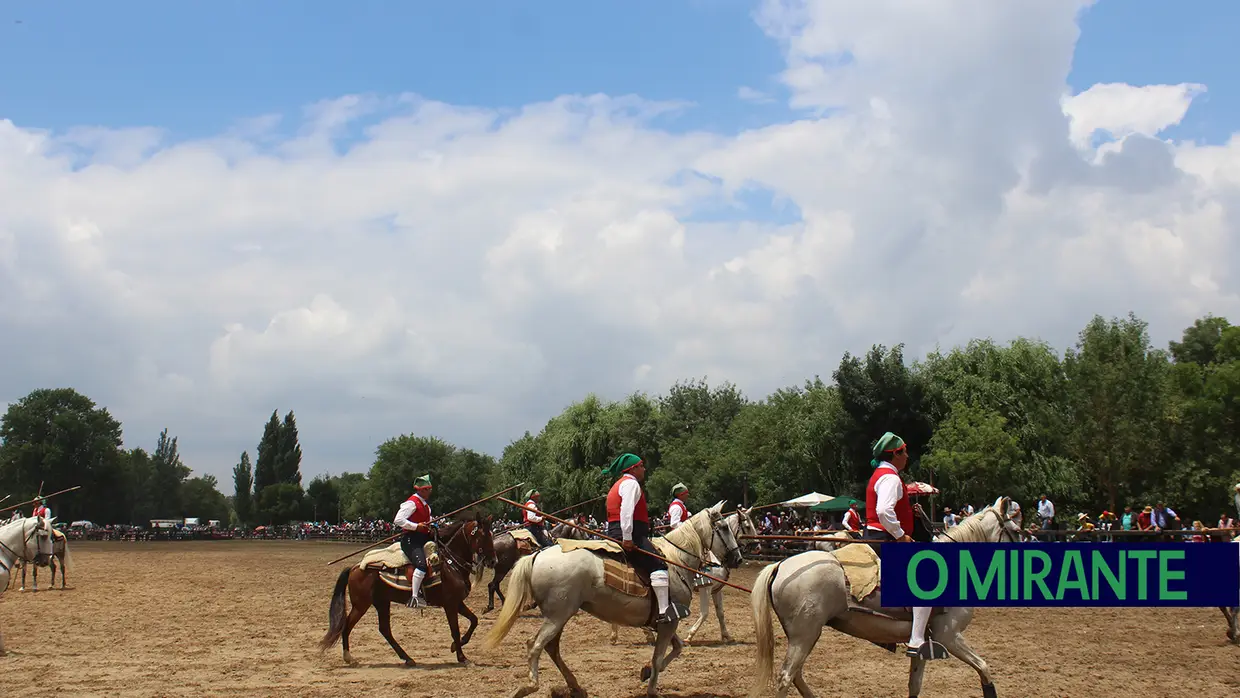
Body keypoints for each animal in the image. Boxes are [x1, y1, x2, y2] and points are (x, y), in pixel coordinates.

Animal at [317, 518, 496, 664]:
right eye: (483, 536)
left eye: (491, 534)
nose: (494, 560)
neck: (450, 564)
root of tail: (355, 568)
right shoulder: (450, 604)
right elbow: (455, 630)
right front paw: (462, 657)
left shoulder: (458, 603)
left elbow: (474, 620)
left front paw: (455, 647)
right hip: (361, 605)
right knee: (347, 626)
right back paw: (348, 657)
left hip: (382, 602)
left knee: (385, 629)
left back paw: (407, 658)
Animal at [481, 503, 734, 698]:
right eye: (723, 527)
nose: (737, 556)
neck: (676, 560)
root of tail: (537, 555)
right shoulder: (669, 622)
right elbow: (659, 657)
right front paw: (652, 687)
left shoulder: (664, 623)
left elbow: (676, 648)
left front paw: (646, 672)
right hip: (557, 615)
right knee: (534, 645)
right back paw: (529, 686)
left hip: (558, 615)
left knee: (551, 647)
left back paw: (575, 687)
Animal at [748, 495, 1021, 698]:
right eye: (1017, 530)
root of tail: (780, 565)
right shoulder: (949, 635)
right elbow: (984, 668)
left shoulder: (925, 643)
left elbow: (914, 685)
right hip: (805, 635)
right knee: (786, 678)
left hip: (804, 636)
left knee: (796, 676)